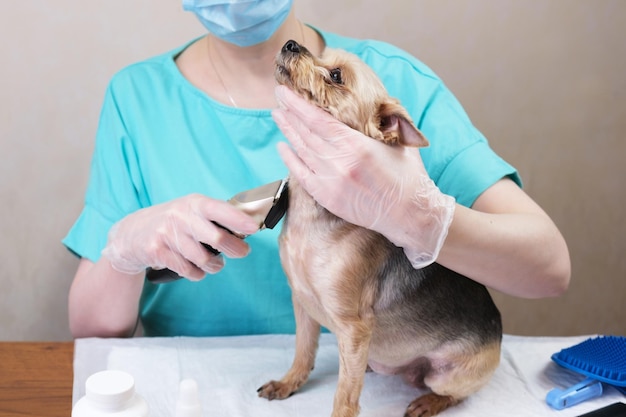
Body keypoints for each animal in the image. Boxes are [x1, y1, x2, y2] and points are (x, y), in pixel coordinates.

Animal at [258, 40, 502, 416]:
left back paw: (428, 402)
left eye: (336, 75)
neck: (312, 214)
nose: (291, 44)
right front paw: (288, 383)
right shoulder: (303, 305)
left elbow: (345, 394)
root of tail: (499, 330)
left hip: (450, 373)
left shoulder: (354, 329)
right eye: (321, 56)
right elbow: (303, 351)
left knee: (455, 393)